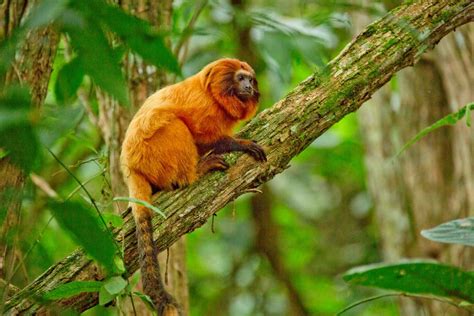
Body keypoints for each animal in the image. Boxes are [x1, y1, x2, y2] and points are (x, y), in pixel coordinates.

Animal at [118, 58, 266, 314]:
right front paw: (241, 144)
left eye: (250, 79)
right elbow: (201, 135)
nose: (248, 86)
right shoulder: (203, 107)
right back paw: (195, 172)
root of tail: (131, 167)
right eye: (240, 78)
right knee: (176, 125)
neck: (214, 96)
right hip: (153, 153)